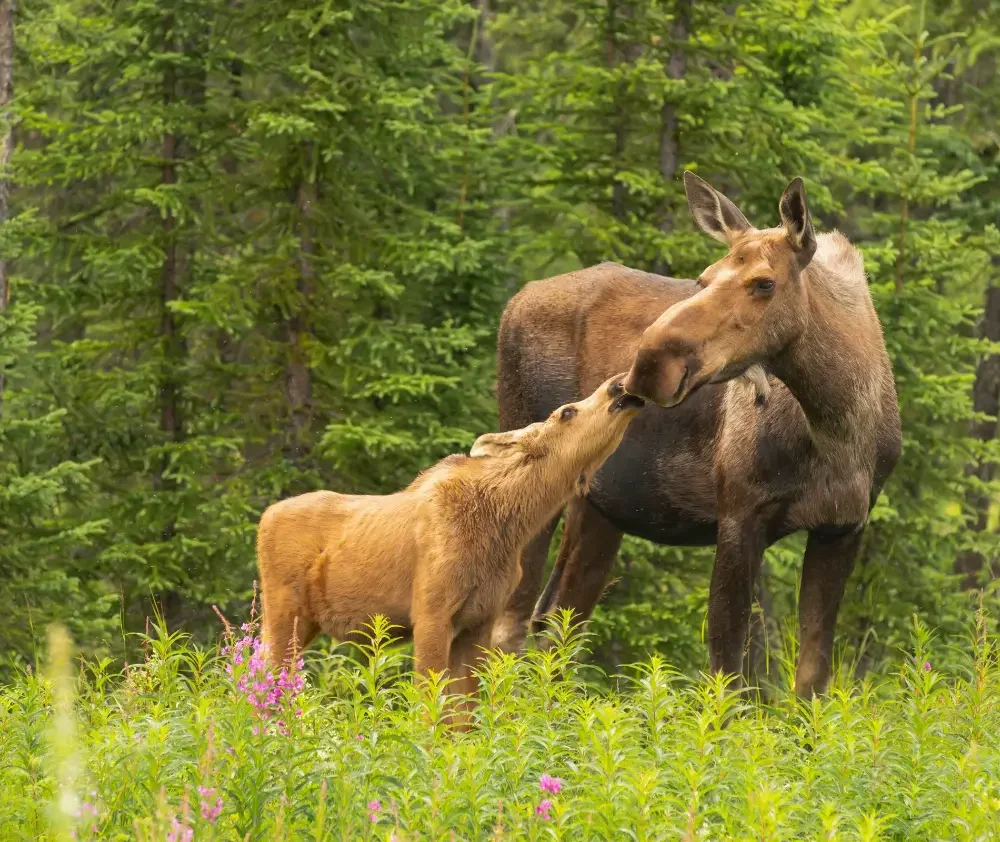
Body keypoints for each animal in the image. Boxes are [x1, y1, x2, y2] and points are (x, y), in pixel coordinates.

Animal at [490, 172, 901, 697]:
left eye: (764, 282)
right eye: (703, 279)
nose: (648, 365)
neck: (839, 427)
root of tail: (514, 301)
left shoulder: (843, 526)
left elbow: (810, 679)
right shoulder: (740, 514)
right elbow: (728, 674)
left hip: (600, 507)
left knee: (556, 624)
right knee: (509, 624)